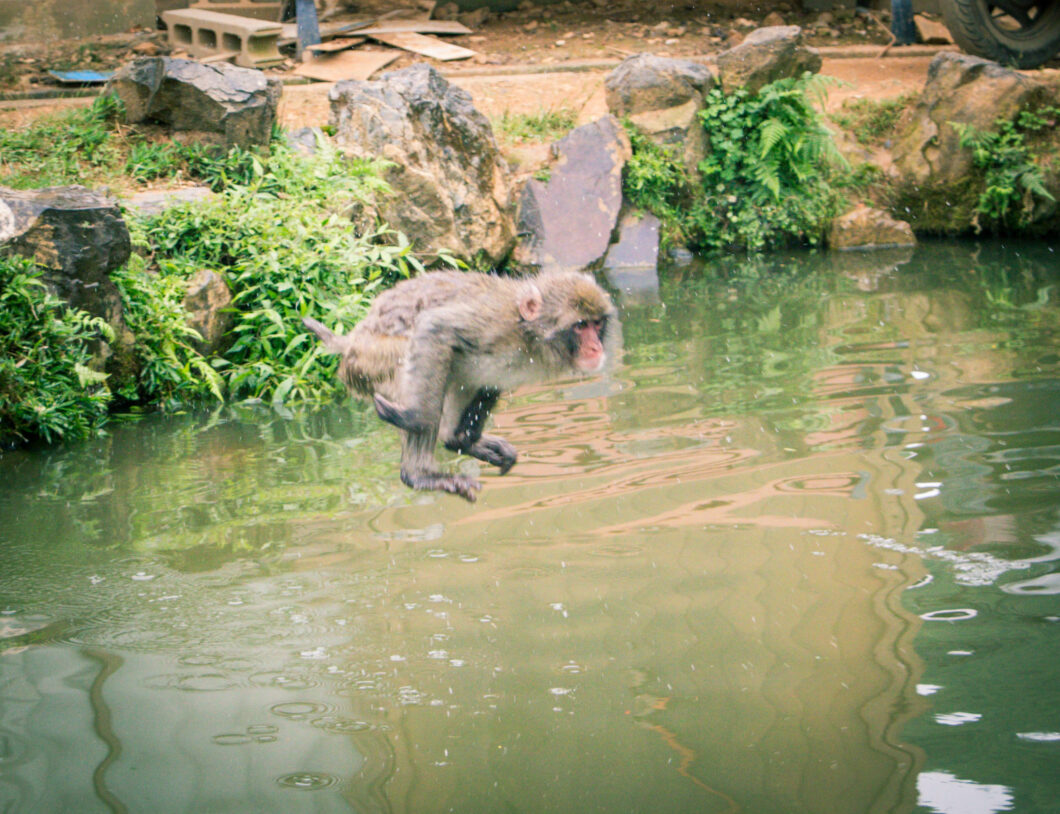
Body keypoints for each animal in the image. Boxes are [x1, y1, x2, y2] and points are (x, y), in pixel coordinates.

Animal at [303, 270, 619, 500]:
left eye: (597, 324)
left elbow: (490, 381)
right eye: (580, 326)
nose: (595, 347)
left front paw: (464, 440)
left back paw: (455, 440)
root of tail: (351, 341)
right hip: (374, 358)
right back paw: (418, 474)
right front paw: (419, 419)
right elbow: (436, 327)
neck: (528, 334)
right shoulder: (495, 324)